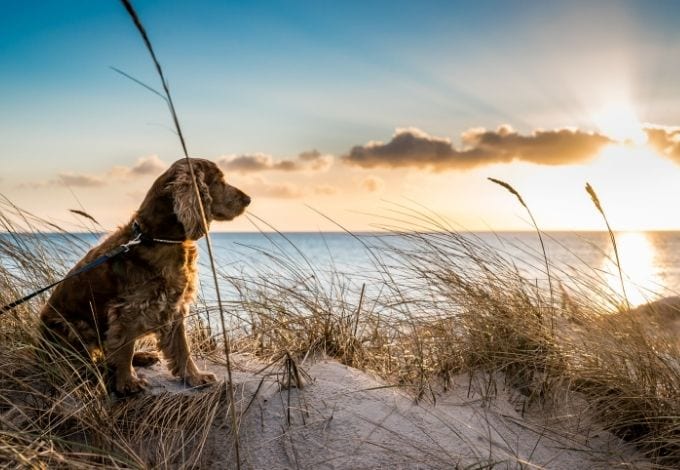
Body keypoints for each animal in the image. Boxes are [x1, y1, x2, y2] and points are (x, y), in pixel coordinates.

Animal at [38, 159, 250, 396]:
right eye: (219, 181)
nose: (248, 199)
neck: (157, 238)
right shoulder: (128, 310)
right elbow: (125, 348)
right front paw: (128, 382)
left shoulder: (174, 305)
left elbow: (182, 348)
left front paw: (194, 377)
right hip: (74, 327)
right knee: (85, 361)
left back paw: (143, 356)